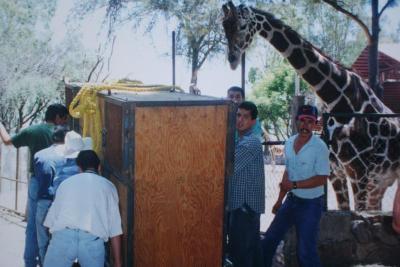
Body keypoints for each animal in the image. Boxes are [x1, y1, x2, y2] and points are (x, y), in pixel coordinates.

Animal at [220, 1, 400, 211]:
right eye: (224, 27)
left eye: (242, 26)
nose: (233, 60)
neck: (337, 98)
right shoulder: (335, 172)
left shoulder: (360, 173)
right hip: (380, 182)